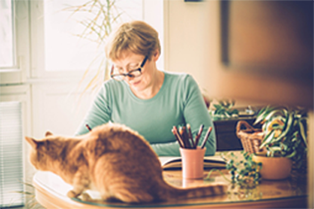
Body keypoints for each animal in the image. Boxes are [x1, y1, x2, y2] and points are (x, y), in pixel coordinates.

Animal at [24, 122, 226, 202]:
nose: (31, 164)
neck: (64, 152)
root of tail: (159, 180)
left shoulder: (83, 170)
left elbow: (78, 185)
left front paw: (74, 193)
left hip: (105, 164)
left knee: (142, 198)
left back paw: (107, 197)